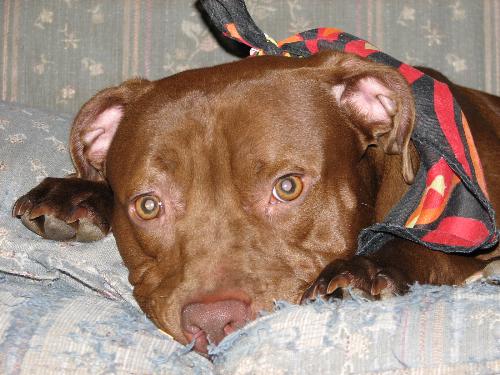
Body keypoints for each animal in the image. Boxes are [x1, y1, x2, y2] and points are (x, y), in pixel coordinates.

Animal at [11, 51, 500, 354]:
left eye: (288, 187)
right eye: (148, 206)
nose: (212, 321)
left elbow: (425, 247)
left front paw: (367, 268)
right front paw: (75, 192)